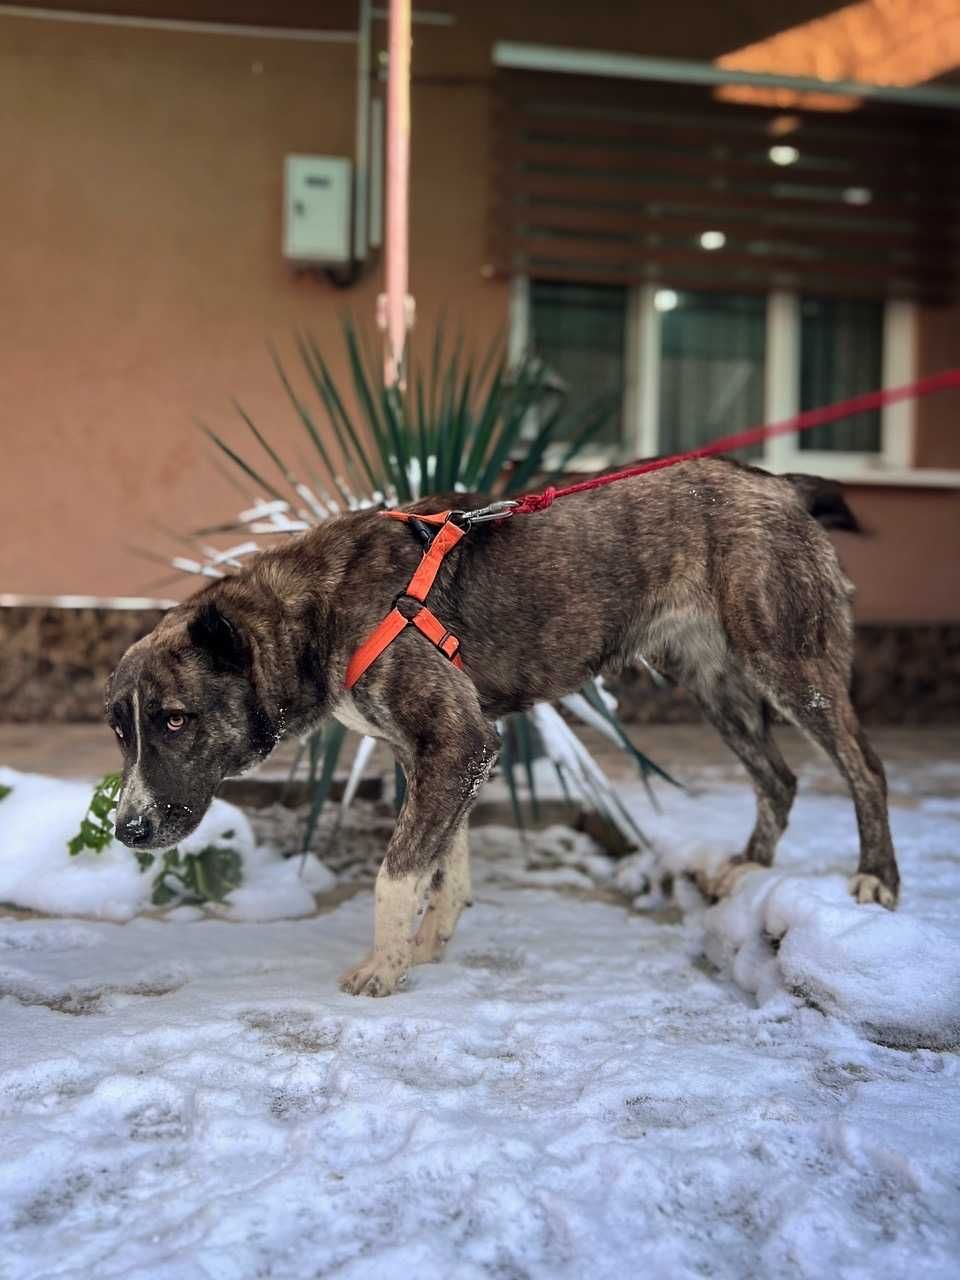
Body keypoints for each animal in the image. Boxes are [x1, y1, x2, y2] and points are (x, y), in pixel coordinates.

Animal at [108, 460, 901, 998]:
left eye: (175, 720)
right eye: (121, 732)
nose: (127, 830)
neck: (319, 609)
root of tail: (781, 484)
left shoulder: (456, 745)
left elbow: (397, 873)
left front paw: (383, 968)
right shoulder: (438, 755)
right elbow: (444, 864)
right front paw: (426, 947)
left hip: (789, 661)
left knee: (864, 767)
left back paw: (876, 879)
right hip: (715, 684)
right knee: (780, 775)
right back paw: (748, 868)